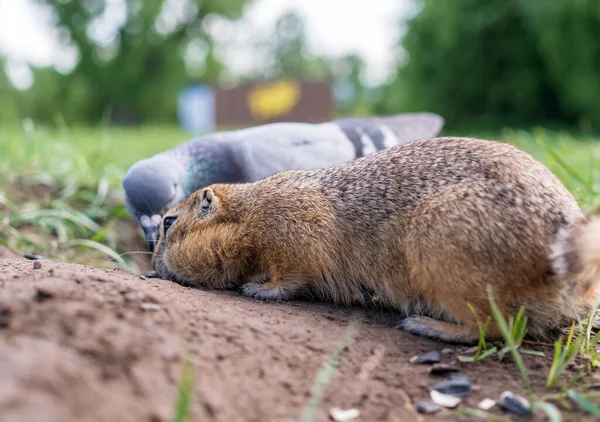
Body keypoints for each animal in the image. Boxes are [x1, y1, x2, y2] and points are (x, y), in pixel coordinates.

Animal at [150, 138, 600, 342]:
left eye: (169, 222)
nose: (152, 268)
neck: (248, 214)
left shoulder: (290, 232)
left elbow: (290, 276)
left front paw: (260, 289)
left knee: (493, 326)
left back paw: (427, 325)